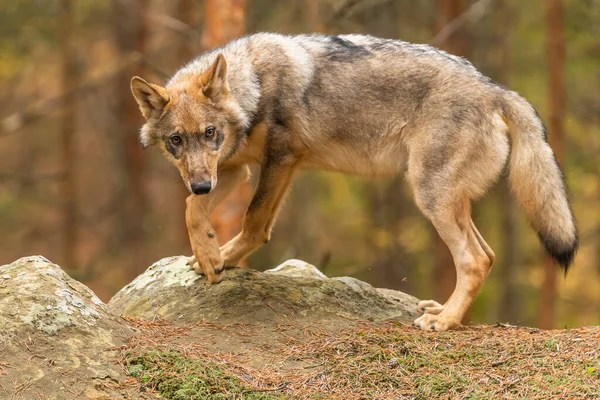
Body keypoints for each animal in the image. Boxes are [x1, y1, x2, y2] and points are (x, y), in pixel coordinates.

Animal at [131, 32, 576, 332]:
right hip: (446, 200)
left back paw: (444, 322)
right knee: (488, 255)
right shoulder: (231, 169)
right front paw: (209, 254)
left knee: (475, 259)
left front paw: (218, 256)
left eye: (209, 133)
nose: (202, 186)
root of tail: (496, 89)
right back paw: (443, 312)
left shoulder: (280, 160)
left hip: (429, 195)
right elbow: (192, 209)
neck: (252, 85)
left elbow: (254, 221)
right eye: (176, 140)